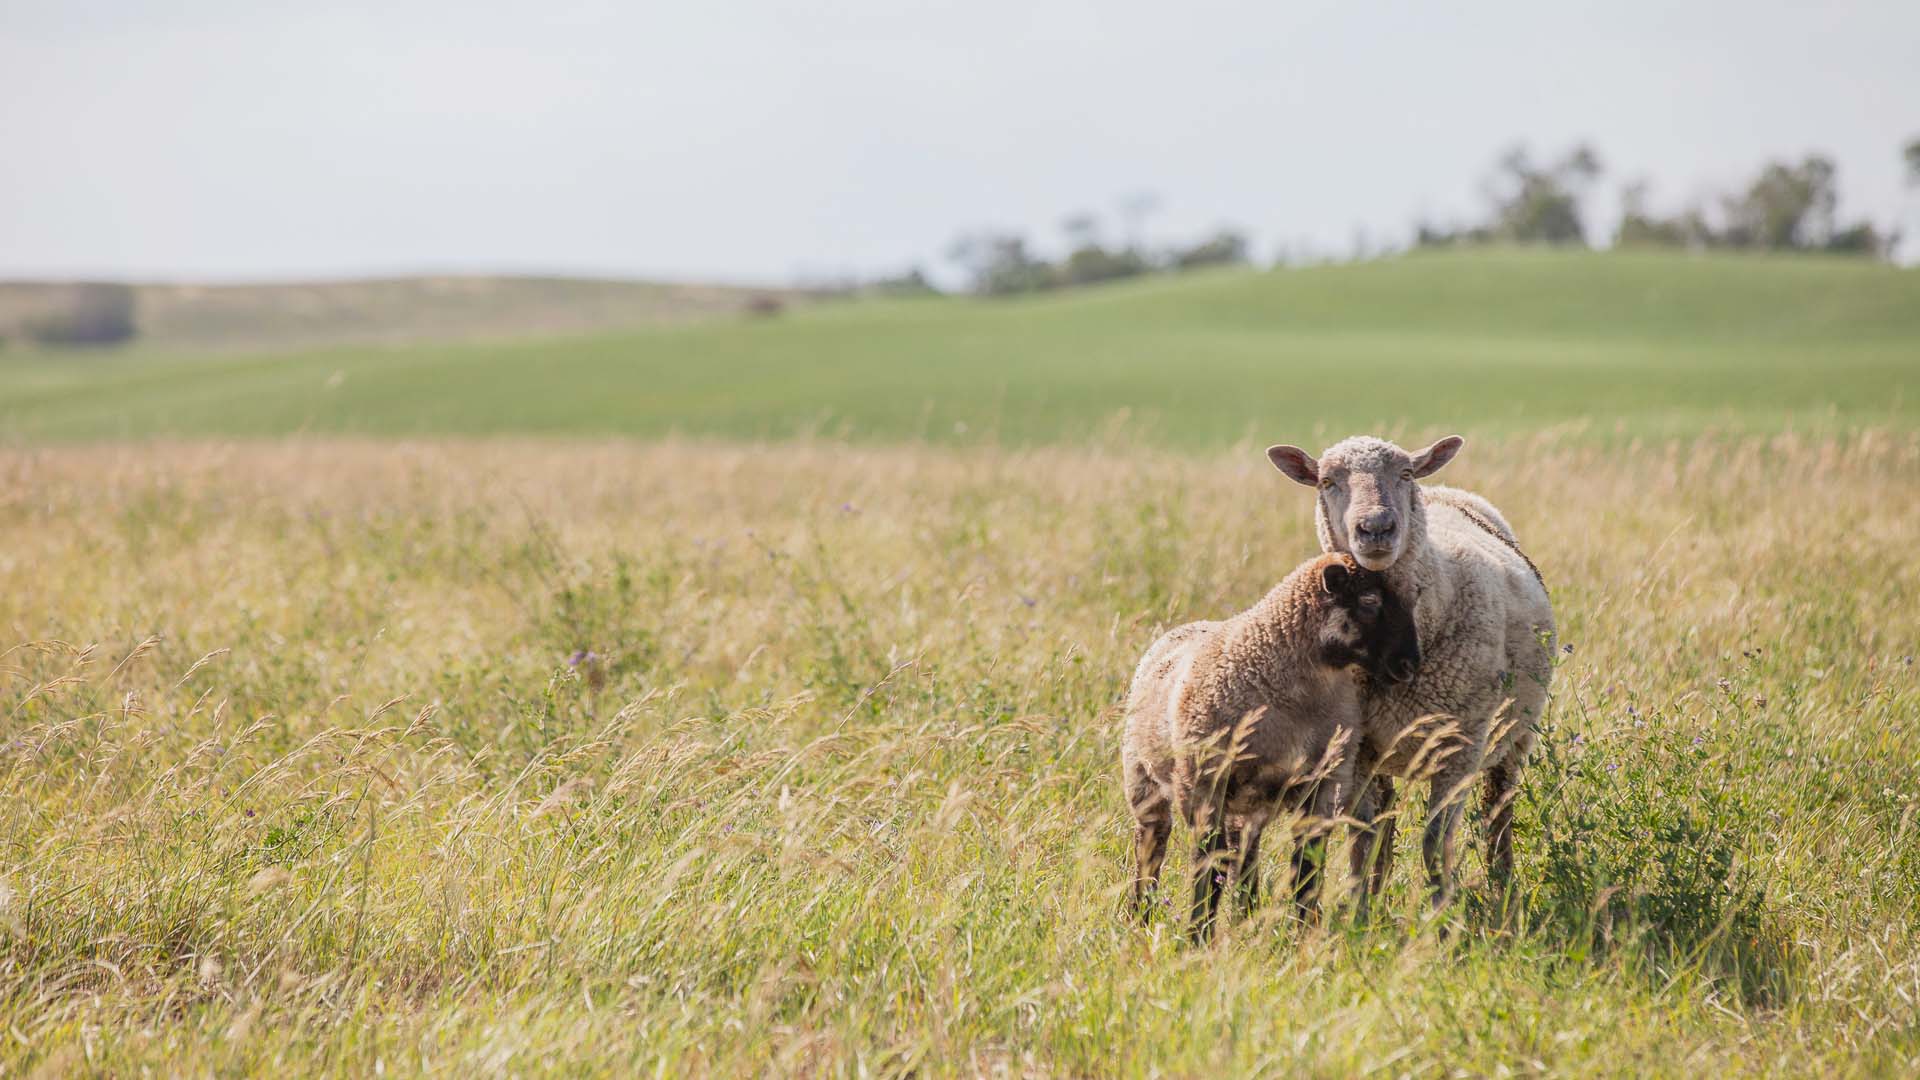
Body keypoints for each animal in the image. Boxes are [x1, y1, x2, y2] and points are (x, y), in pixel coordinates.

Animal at [1121, 549, 1420, 937]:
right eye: (1370, 601)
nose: (1409, 664)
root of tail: (1175, 631)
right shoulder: (1203, 785)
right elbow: (1207, 866)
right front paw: (1197, 935)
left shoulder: (1322, 785)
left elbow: (1307, 868)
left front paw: (1303, 931)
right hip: (1143, 778)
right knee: (1151, 845)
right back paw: (1140, 915)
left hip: (1248, 805)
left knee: (1244, 856)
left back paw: (1246, 916)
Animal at [1267, 432, 1551, 903]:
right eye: (1327, 481)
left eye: (1403, 474)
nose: (1376, 528)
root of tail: (1444, 489)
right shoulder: (1356, 746)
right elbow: (1362, 837)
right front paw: (1360, 912)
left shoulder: (1461, 744)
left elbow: (1436, 841)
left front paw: (1439, 914)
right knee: (1384, 822)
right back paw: (1380, 893)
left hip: (1514, 734)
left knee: (1498, 811)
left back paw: (1503, 890)